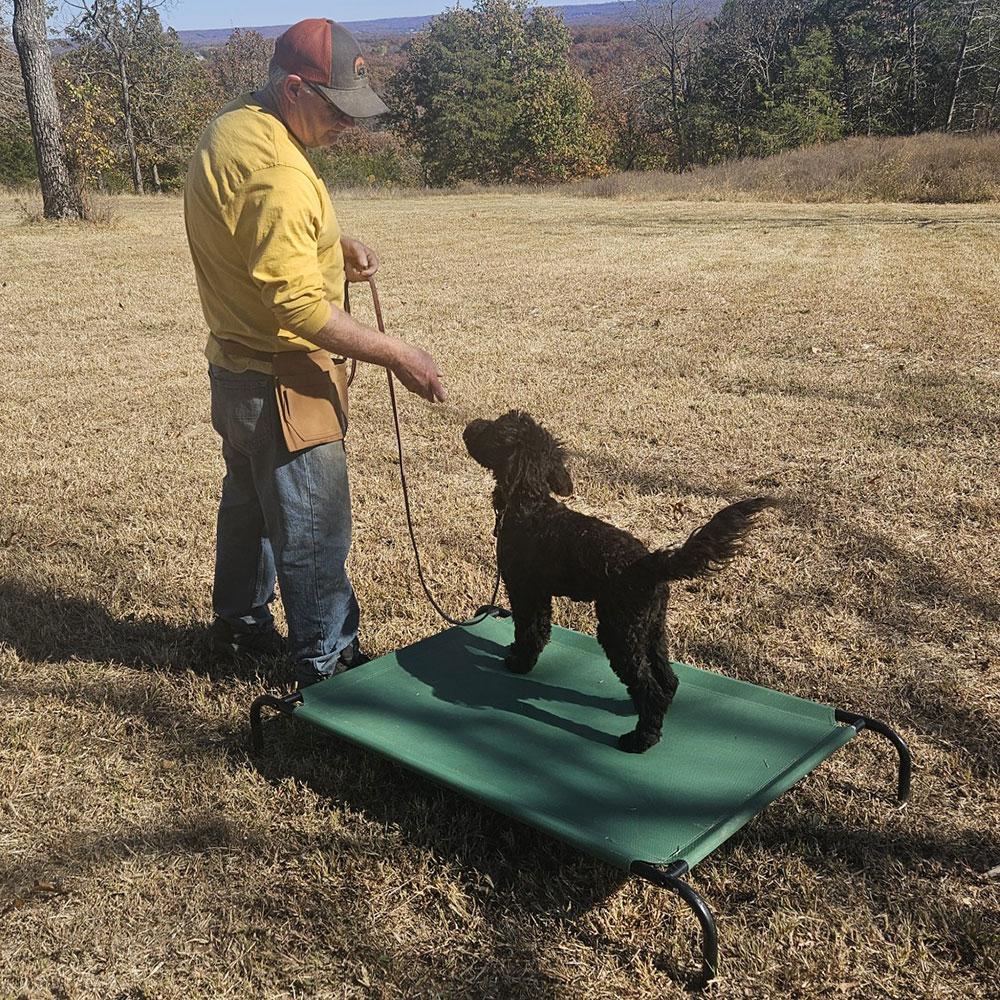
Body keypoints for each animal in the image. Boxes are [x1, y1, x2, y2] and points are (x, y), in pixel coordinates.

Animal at [463, 410, 776, 753]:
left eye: (495, 428)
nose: (469, 426)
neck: (530, 506)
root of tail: (649, 563)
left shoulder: (524, 591)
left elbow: (528, 631)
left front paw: (518, 662)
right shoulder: (541, 594)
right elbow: (541, 631)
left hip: (618, 631)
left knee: (649, 688)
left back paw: (641, 738)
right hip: (651, 627)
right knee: (667, 679)